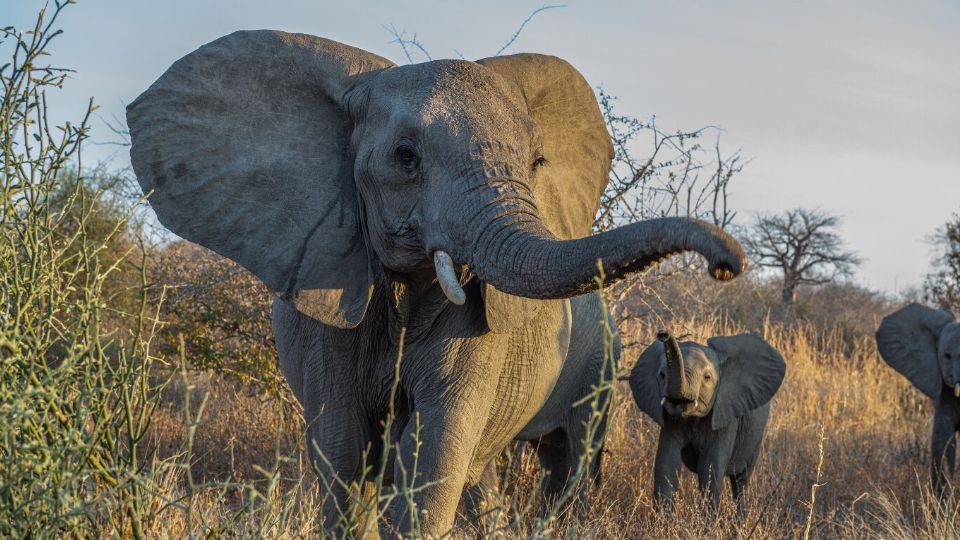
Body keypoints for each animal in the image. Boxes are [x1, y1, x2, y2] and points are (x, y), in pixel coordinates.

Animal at [127, 30, 748, 536]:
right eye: (406, 158)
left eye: (537, 162)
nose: (726, 266)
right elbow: (344, 454)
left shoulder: (477, 330)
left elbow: (430, 460)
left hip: (601, 365)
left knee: (567, 461)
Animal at [628, 332, 784, 508]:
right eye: (661, 375)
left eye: (707, 377)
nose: (663, 334)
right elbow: (666, 462)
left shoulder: (726, 413)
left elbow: (710, 467)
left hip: (756, 437)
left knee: (741, 481)